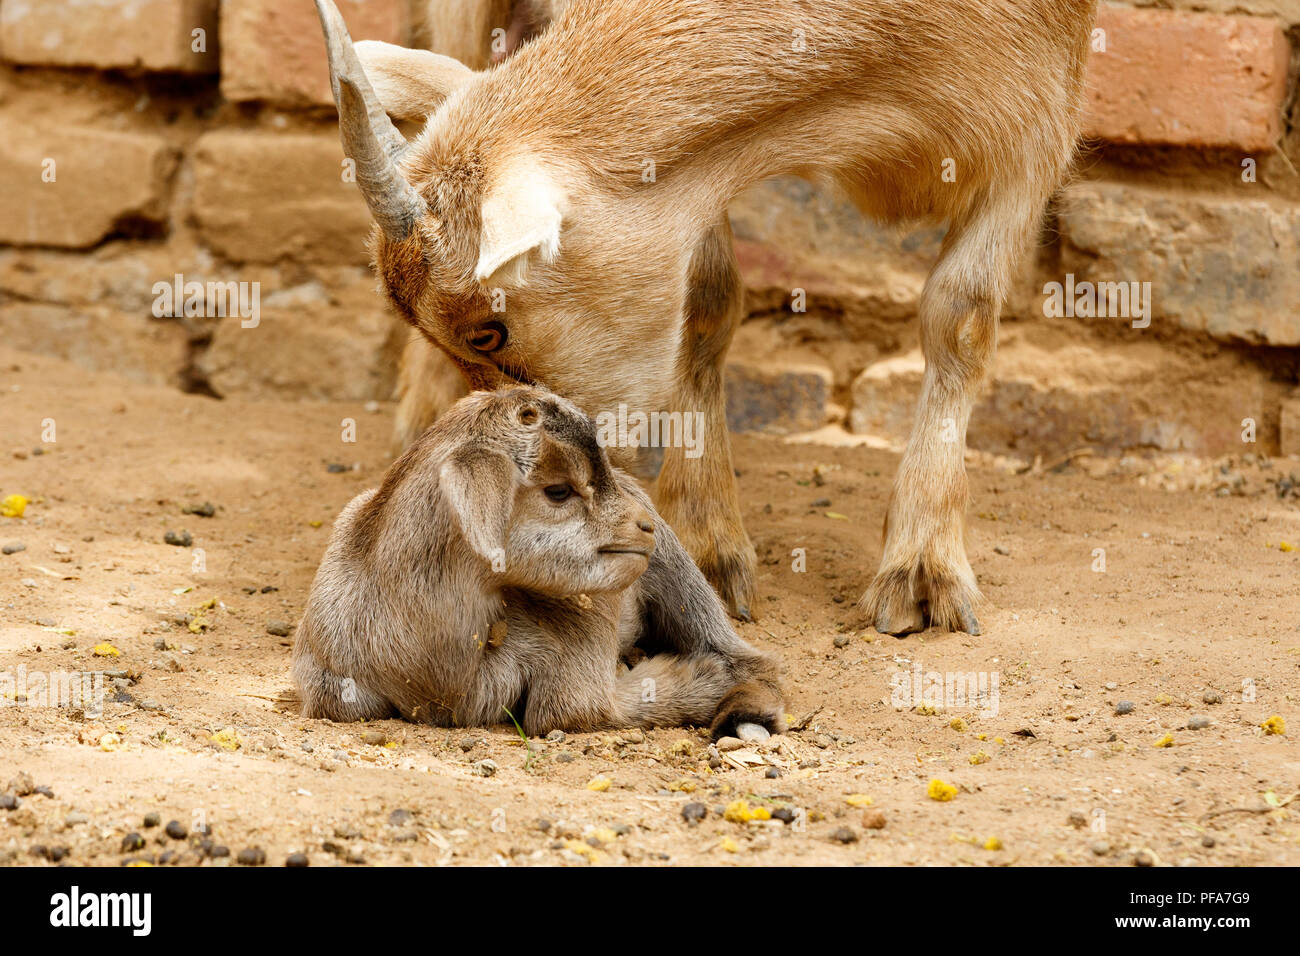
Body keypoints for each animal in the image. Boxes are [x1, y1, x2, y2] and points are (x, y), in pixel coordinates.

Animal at [292, 385, 785, 739]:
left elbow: (573, 710)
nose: (643, 527)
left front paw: (704, 677)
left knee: (752, 659)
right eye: (559, 491)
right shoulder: (331, 692)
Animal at [315, 0, 1097, 635]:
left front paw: (924, 577)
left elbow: (962, 315)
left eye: (489, 328)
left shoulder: (1035, 111)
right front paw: (704, 547)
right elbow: (707, 300)